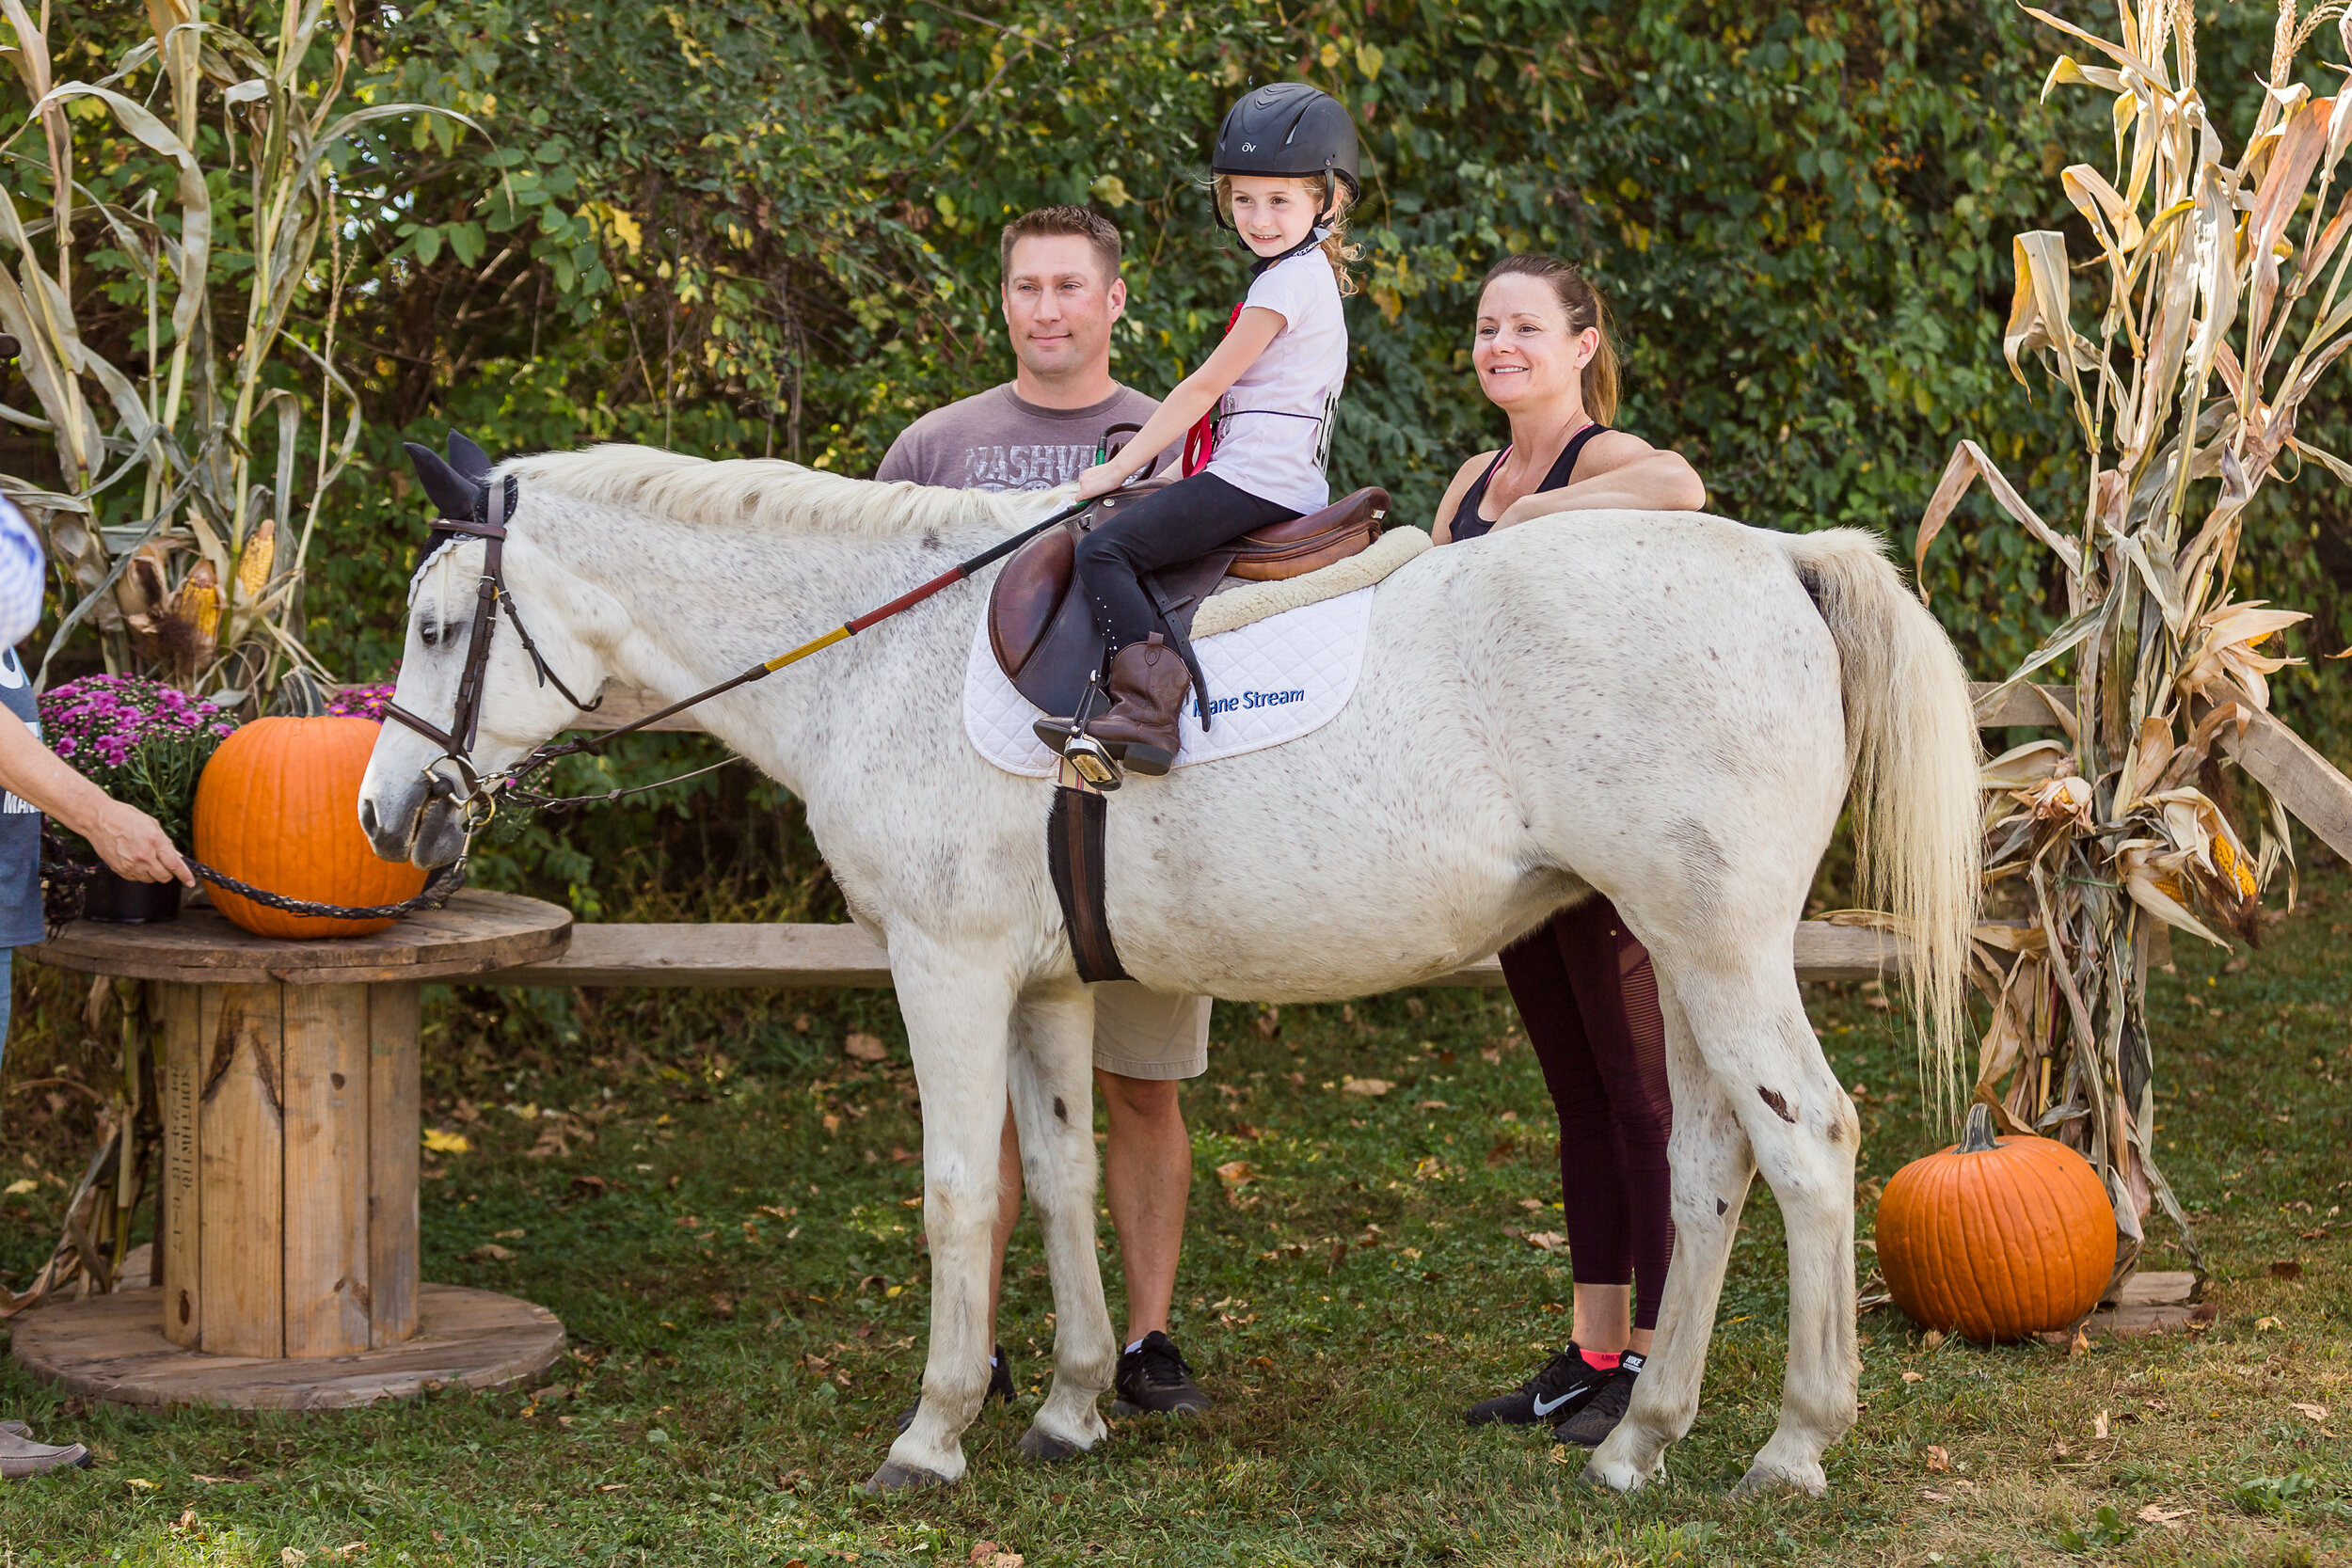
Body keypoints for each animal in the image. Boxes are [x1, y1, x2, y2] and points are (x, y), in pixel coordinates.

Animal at [362, 446, 1985, 1504]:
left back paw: (1792, 1445)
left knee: (1810, 1144)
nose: (390, 816)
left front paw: (928, 1434)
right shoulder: (1042, 984)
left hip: (1719, 948)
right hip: (1684, 948)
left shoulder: (944, 966)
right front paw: (1074, 1402)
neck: (880, 653)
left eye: (439, 627)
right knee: (1710, 1163)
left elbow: (958, 1193)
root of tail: (1778, 557)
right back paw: (1645, 1438)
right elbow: (1064, 1175)